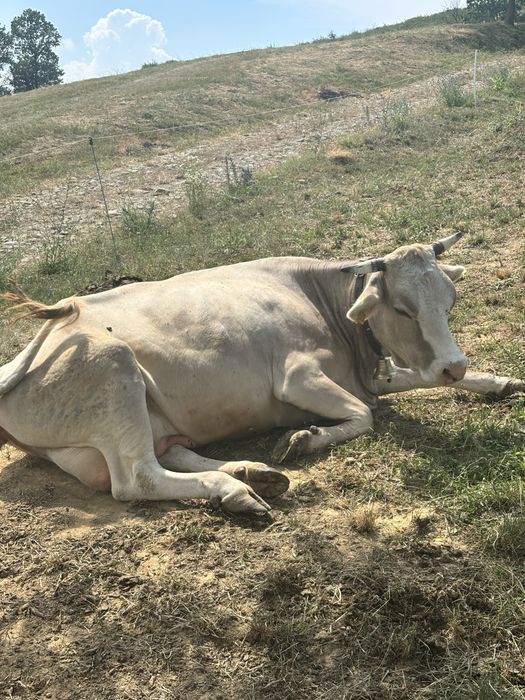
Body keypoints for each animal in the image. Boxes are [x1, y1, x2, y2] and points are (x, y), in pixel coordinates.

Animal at [0, 232, 522, 514]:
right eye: (402, 308)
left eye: (450, 301)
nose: (455, 363)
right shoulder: (297, 377)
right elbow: (365, 415)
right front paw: (306, 438)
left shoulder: (374, 373)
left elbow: (417, 379)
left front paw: (500, 382)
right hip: (114, 369)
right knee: (137, 478)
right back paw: (235, 488)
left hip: (122, 430)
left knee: (173, 454)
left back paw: (249, 473)